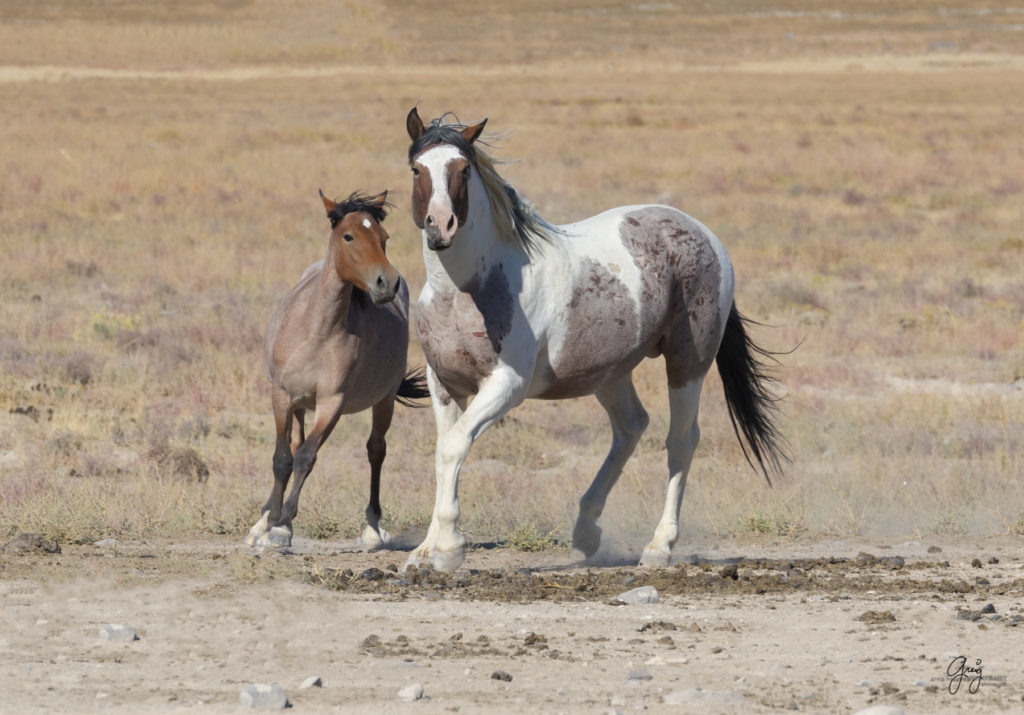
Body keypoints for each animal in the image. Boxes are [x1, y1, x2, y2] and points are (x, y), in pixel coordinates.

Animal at [246, 189, 428, 553]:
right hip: (300, 404)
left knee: (376, 450)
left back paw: (372, 529)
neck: (316, 331)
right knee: (294, 446)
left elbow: (306, 457)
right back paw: (263, 519)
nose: (386, 283)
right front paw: (267, 524)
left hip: (384, 400)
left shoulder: (332, 402)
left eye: (384, 238)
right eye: (349, 236)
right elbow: (282, 459)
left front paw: (282, 527)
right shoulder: (282, 395)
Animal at [403, 108, 786, 569]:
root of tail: (706, 236)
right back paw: (586, 532)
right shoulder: (444, 384)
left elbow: (455, 446)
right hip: (609, 372)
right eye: (417, 169)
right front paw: (425, 550)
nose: (440, 227)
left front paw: (449, 550)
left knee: (681, 441)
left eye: (462, 169)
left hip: (687, 362)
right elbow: (443, 451)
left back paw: (659, 546)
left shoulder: (506, 385)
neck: (464, 290)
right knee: (631, 426)